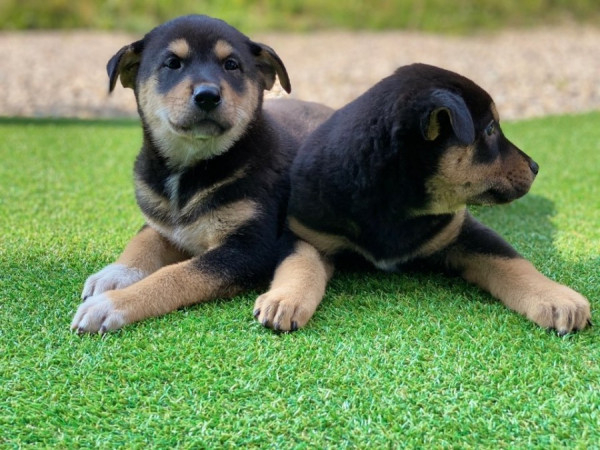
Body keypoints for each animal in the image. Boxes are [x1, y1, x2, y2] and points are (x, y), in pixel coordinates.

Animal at [71, 14, 332, 334]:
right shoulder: (162, 222)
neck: (190, 168)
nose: (207, 96)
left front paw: (110, 305)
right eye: (172, 63)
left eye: (231, 64)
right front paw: (114, 274)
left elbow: (174, 275)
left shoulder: (250, 249)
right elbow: (142, 241)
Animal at [254, 64, 592, 338]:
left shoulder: (462, 231)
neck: (395, 204)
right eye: (490, 129)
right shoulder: (306, 232)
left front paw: (559, 299)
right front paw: (284, 300)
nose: (536, 167)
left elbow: (513, 263)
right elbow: (301, 265)